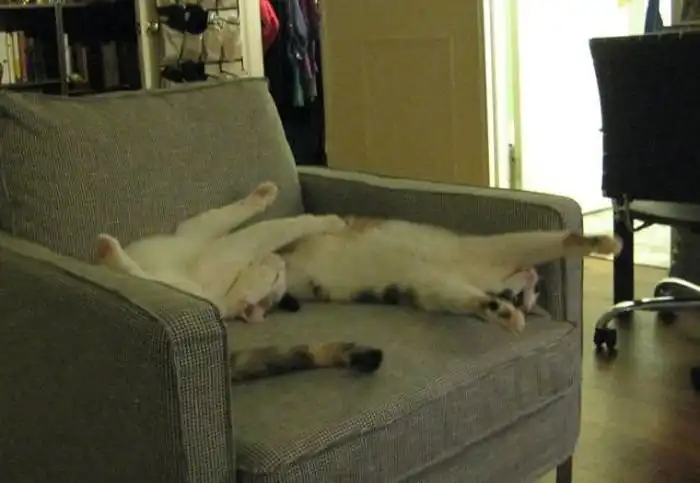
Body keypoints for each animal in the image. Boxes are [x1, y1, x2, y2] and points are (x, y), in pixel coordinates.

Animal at [277, 215, 622, 333]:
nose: (532, 284)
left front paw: (503, 314)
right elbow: (555, 240)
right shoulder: (496, 250)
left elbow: (469, 300)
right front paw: (602, 242)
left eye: (528, 299)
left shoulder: (433, 287)